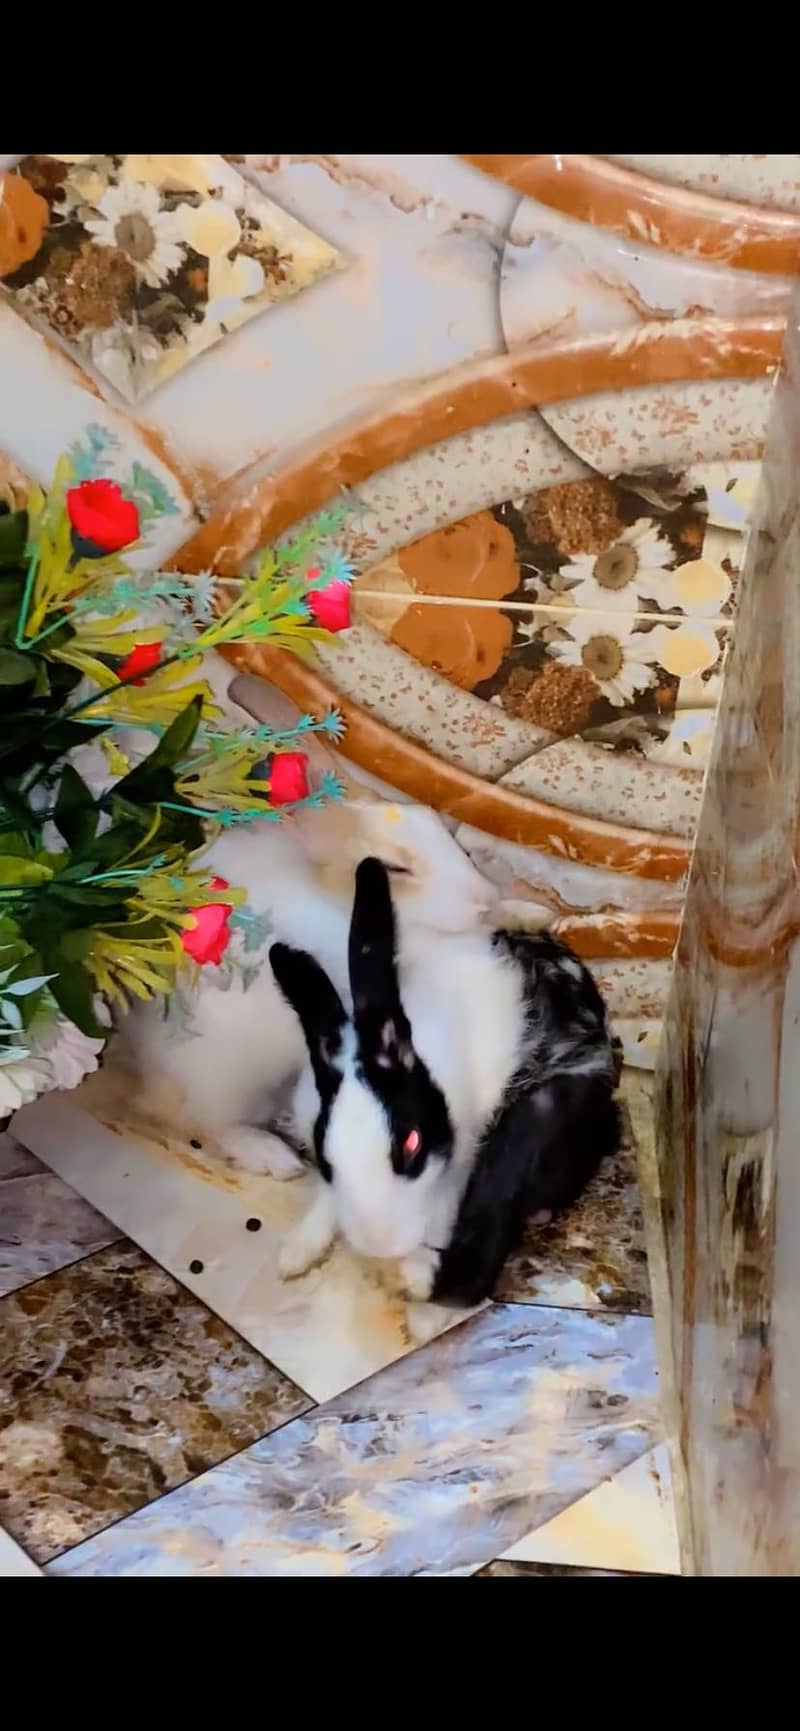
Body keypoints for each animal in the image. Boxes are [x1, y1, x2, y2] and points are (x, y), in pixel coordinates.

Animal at [270, 856, 622, 1324]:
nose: (381, 1243)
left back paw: (415, 1277)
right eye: (325, 1159)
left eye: (412, 1143)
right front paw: (295, 1253)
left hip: (538, 1114)